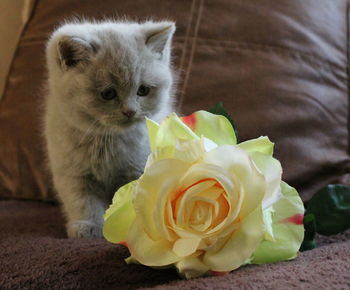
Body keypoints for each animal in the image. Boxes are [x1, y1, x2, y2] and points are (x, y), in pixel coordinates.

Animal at [44, 20, 175, 238]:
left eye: (143, 90)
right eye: (108, 93)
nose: (130, 111)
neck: (107, 139)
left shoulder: (137, 169)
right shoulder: (73, 174)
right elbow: (83, 202)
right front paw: (87, 226)